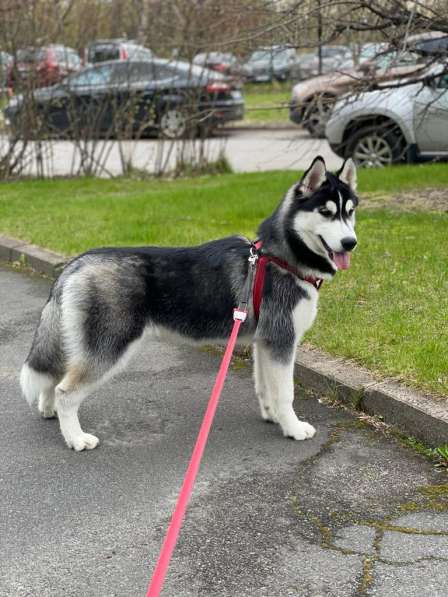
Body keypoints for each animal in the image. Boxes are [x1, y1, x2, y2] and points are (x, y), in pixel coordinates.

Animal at [21, 156, 358, 450]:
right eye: (326, 212)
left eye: (350, 212)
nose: (350, 243)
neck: (280, 257)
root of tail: (77, 263)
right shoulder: (282, 340)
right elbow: (286, 393)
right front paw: (293, 428)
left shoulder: (265, 342)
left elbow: (266, 388)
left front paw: (273, 417)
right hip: (108, 347)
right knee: (66, 391)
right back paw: (76, 438)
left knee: (54, 377)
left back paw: (49, 410)